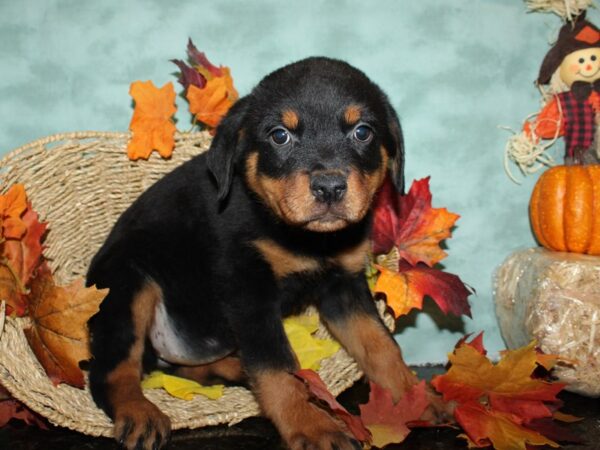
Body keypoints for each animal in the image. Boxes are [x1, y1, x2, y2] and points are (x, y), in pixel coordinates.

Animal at [86, 57, 424, 450]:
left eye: (362, 132)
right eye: (280, 136)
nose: (329, 187)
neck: (305, 238)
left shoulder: (345, 287)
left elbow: (381, 345)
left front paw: (419, 398)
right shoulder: (248, 291)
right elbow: (277, 367)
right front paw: (314, 427)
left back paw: (236, 369)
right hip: (128, 284)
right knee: (112, 370)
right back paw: (140, 413)